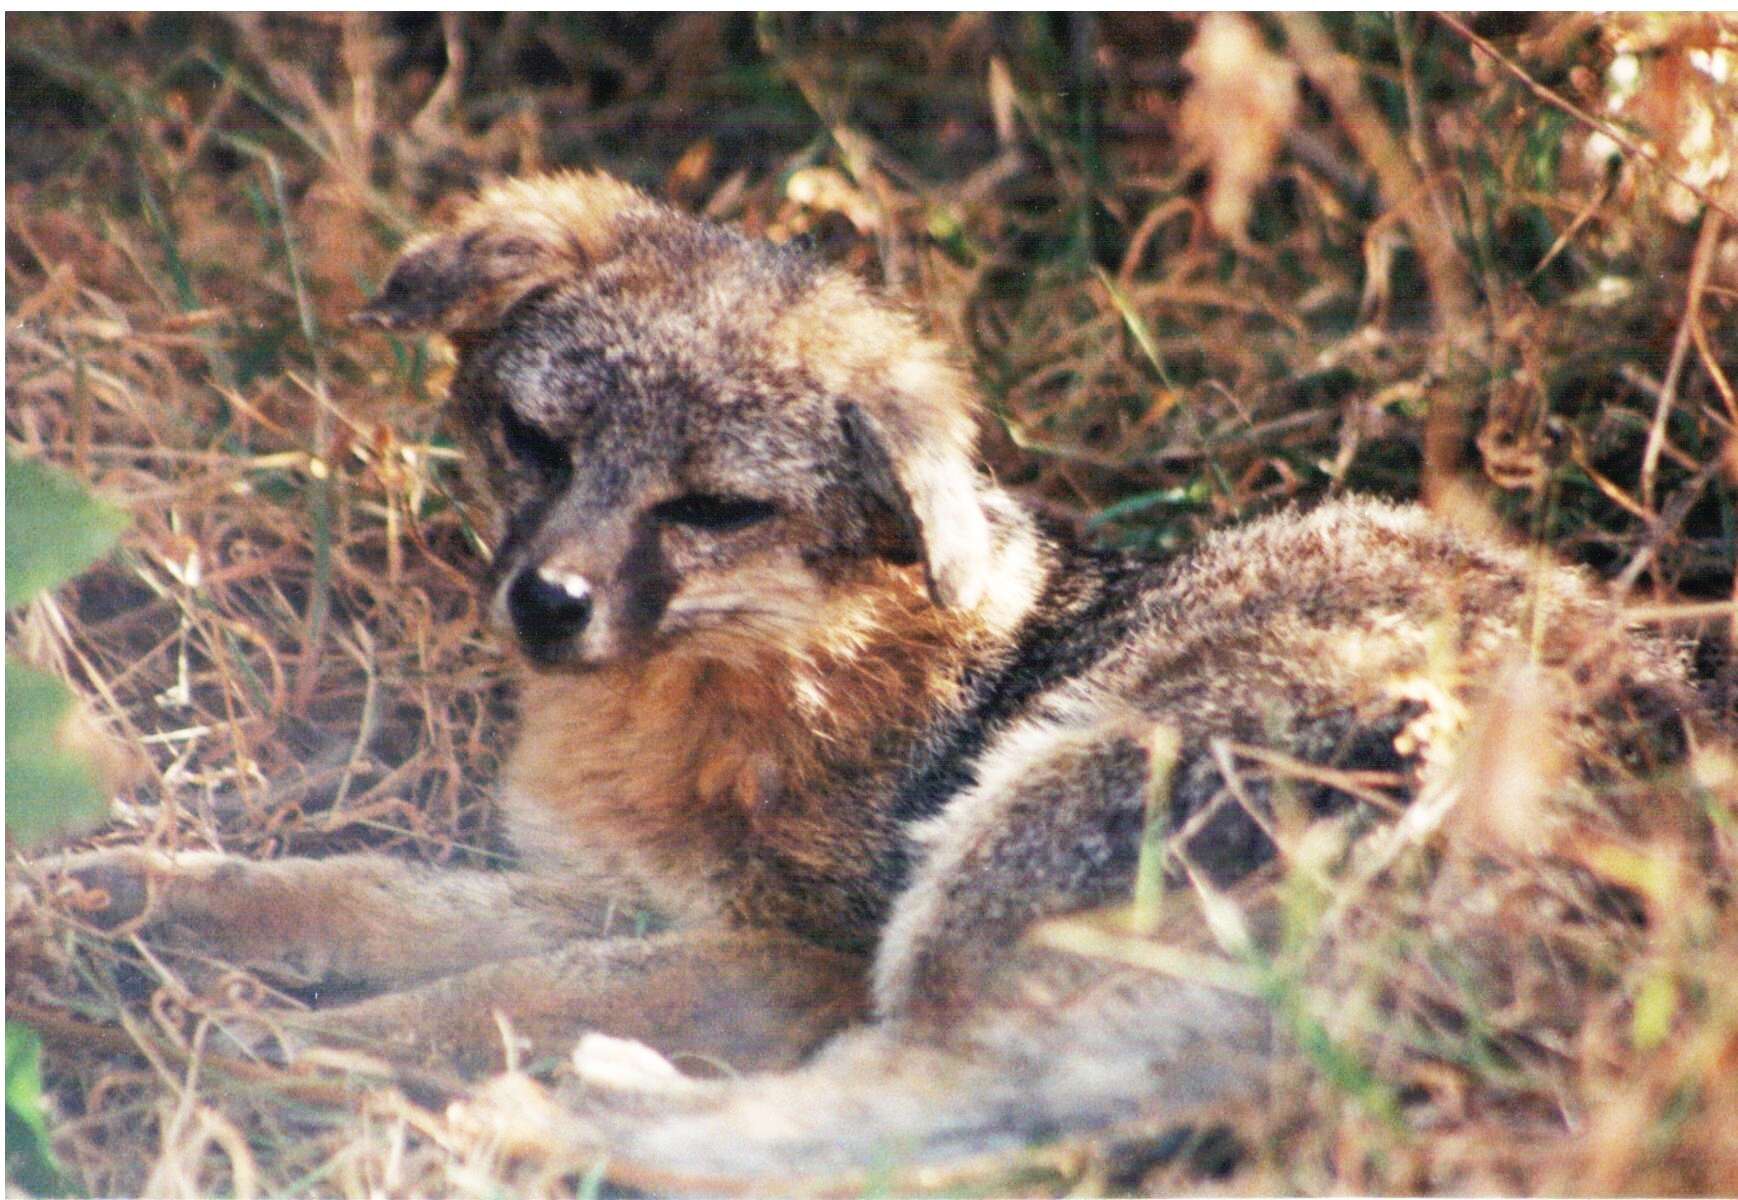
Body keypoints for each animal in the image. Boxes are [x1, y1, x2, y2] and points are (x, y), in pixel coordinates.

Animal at [40, 170, 1696, 1189]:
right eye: (536, 443)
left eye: (711, 508)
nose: (545, 604)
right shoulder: (618, 889)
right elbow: (367, 896)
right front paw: (150, 894)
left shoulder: (798, 949)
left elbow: (500, 987)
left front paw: (333, 1035)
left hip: (1009, 842)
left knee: (917, 1120)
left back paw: (520, 1106)